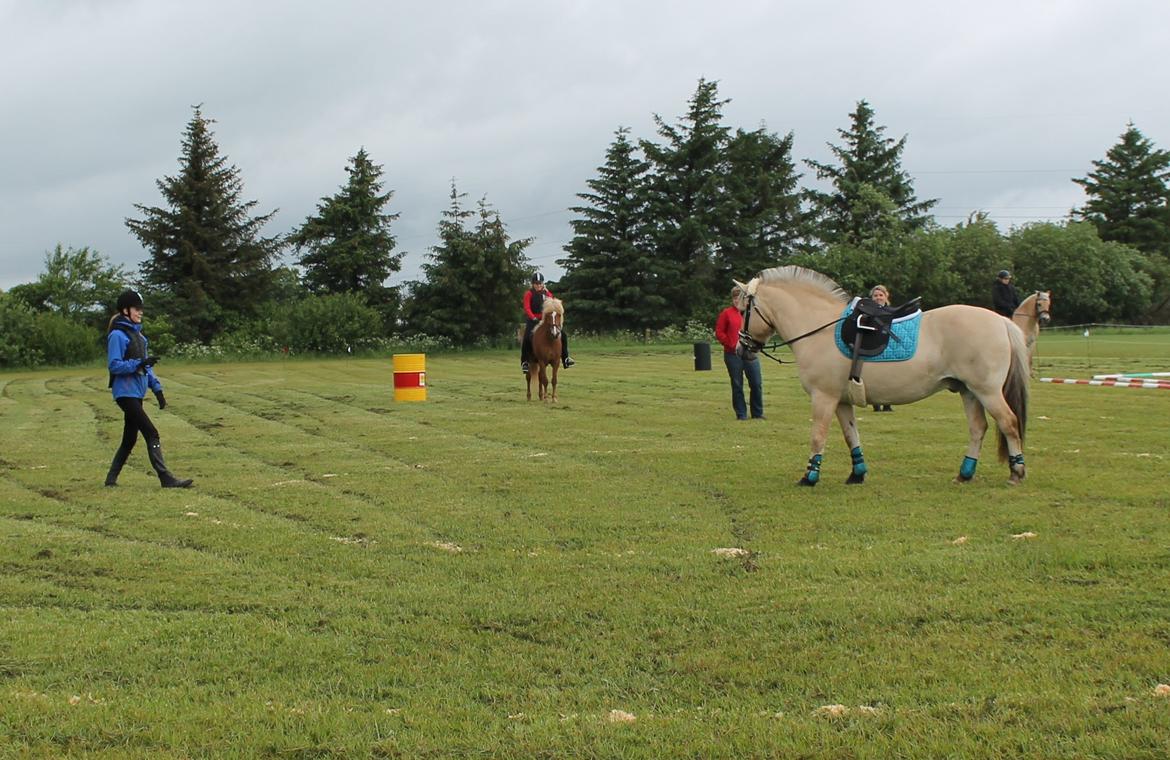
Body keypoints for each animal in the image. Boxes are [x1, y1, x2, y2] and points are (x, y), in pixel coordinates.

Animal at [734, 263, 1029, 481]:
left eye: (744, 310)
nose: (741, 348)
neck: (821, 328)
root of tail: (1000, 321)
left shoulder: (824, 397)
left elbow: (818, 435)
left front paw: (810, 476)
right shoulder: (841, 401)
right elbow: (850, 434)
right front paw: (857, 473)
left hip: (987, 391)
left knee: (1009, 423)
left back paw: (1016, 471)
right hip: (968, 391)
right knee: (978, 428)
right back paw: (965, 473)